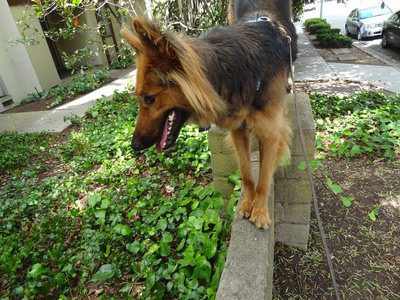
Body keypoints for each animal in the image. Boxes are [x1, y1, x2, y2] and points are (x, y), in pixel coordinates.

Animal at [120, 0, 298, 229]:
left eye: (149, 99)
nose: (135, 145)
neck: (236, 72)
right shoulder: (238, 130)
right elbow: (247, 174)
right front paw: (246, 205)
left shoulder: (270, 133)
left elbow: (264, 179)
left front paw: (259, 212)